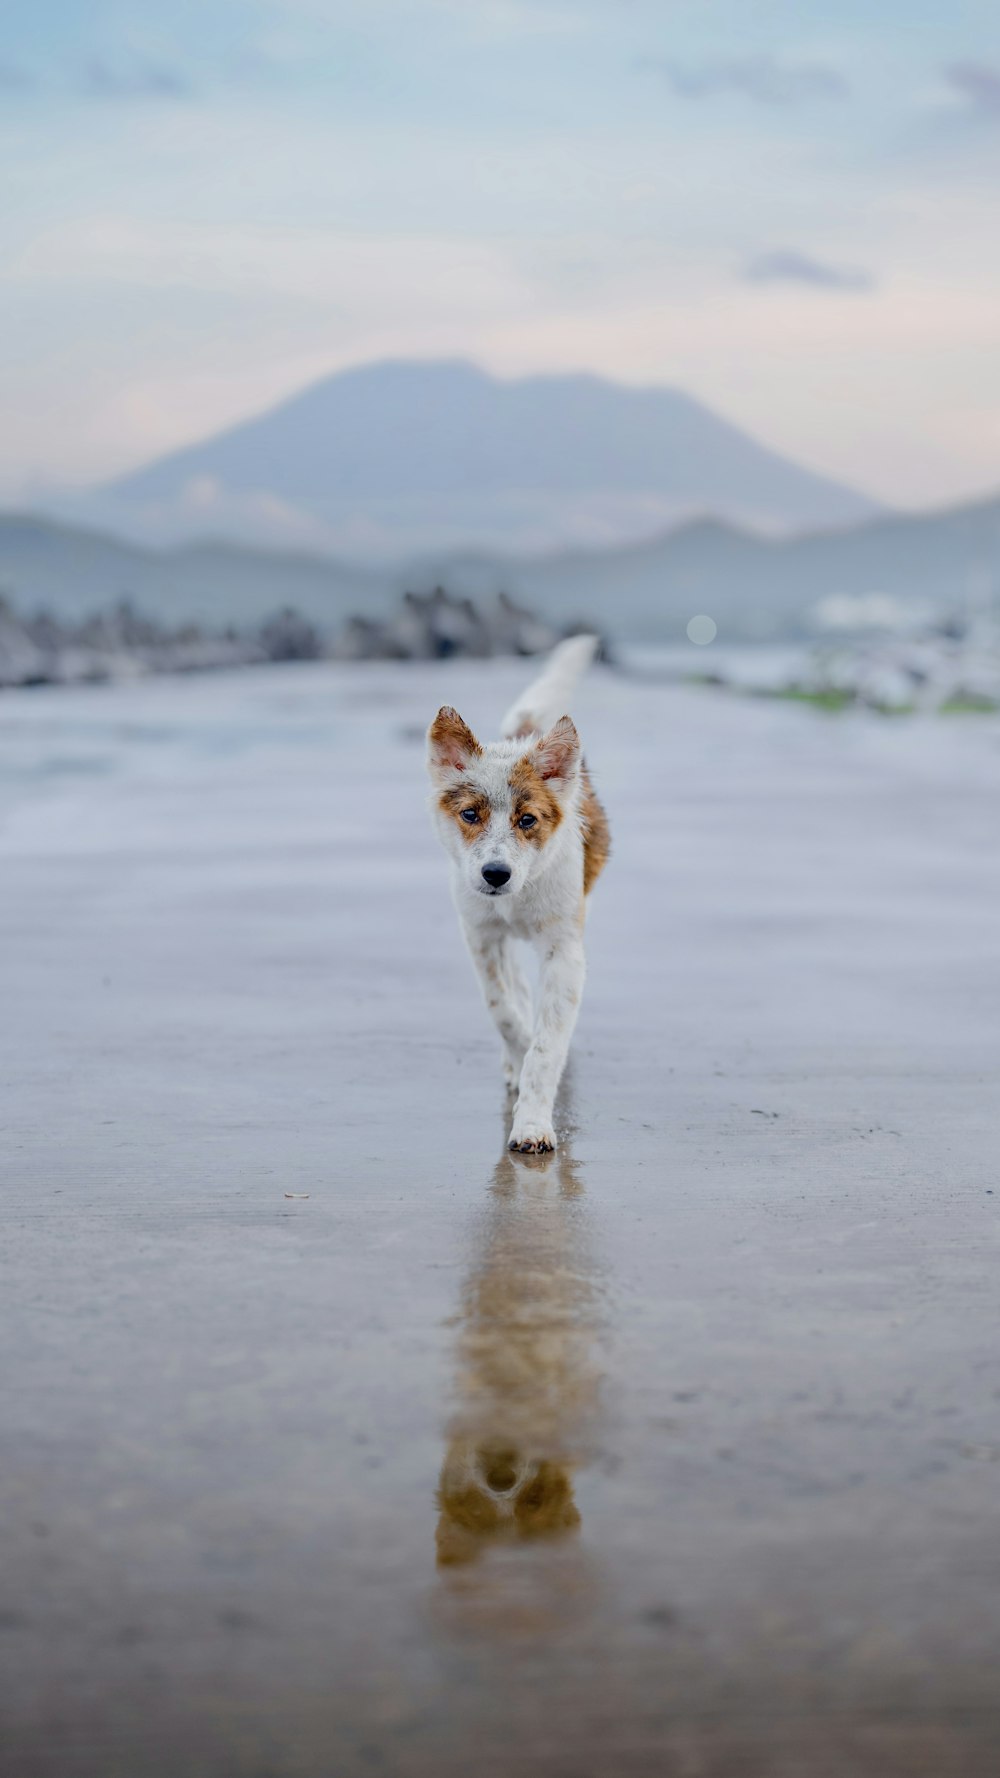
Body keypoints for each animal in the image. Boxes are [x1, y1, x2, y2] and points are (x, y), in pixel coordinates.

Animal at [421, 636, 604, 1152]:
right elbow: (501, 1008)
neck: (516, 897)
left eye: (528, 820)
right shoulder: (481, 935)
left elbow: (547, 1045)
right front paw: (518, 1052)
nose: (495, 874)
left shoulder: (564, 950)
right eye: (470, 814)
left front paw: (533, 1124)